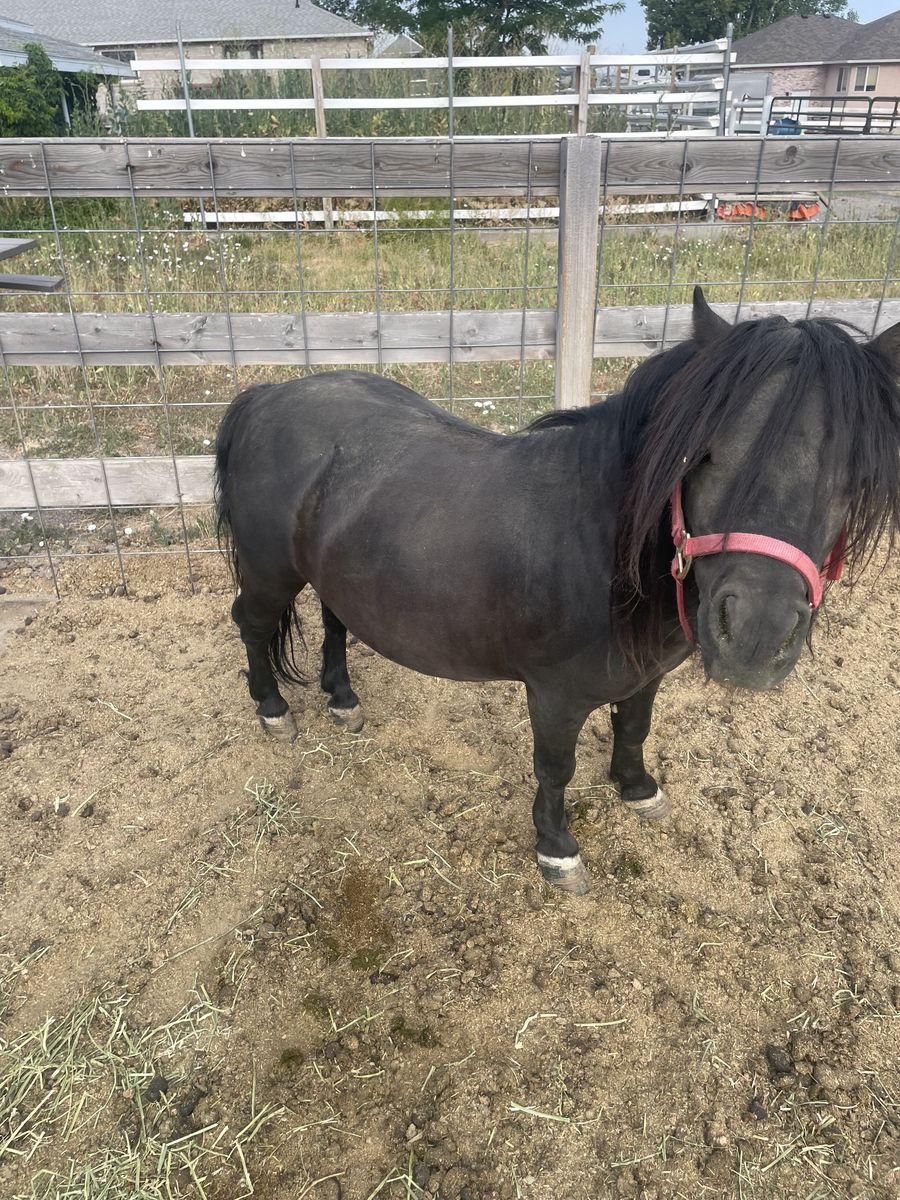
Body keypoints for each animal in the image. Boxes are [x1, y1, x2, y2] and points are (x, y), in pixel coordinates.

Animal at [214, 288, 900, 895]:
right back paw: (273, 709)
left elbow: (634, 727)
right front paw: (557, 849)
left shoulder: (645, 674)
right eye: (703, 455)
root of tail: (267, 396)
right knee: (251, 623)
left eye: (854, 476)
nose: (756, 637)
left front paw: (637, 788)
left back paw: (342, 697)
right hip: (271, 574)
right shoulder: (554, 694)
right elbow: (555, 767)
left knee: (334, 619)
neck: (599, 547)